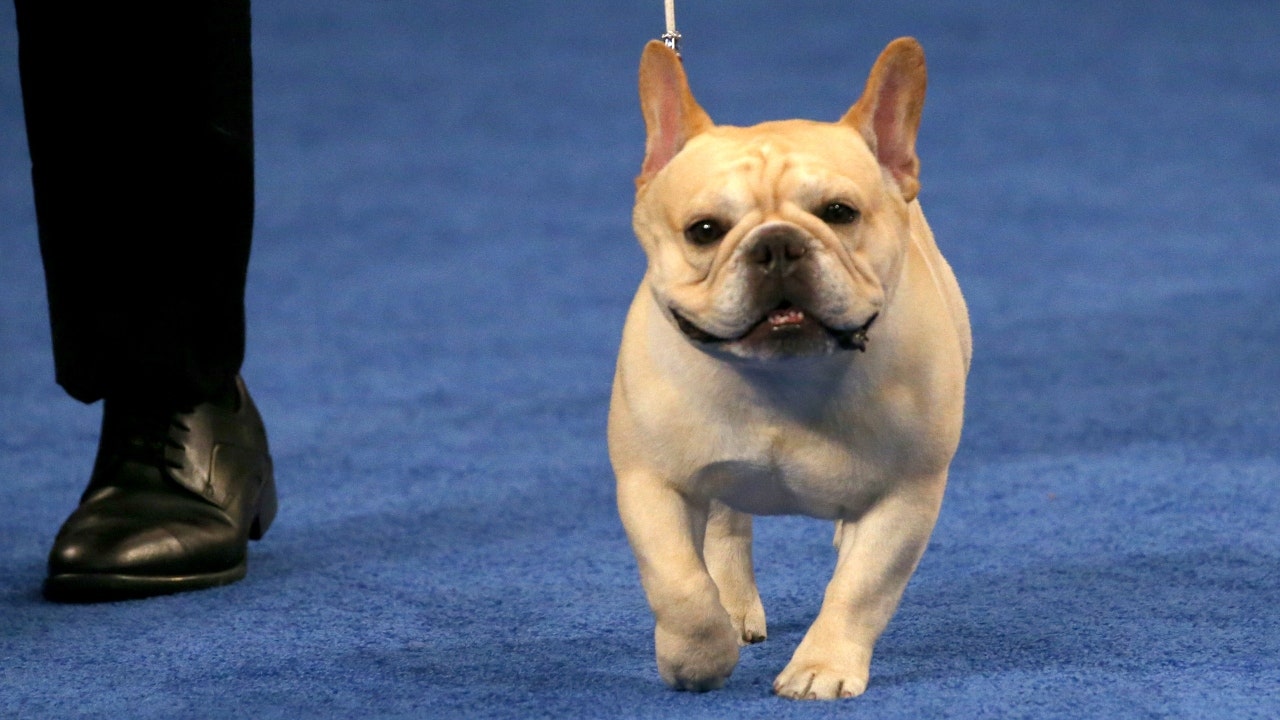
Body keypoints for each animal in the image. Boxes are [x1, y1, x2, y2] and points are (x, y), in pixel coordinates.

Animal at [609, 37, 967, 696]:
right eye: (704, 230)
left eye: (840, 212)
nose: (777, 244)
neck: (782, 379)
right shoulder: (651, 484)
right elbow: (678, 582)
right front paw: (696, 658)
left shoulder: (906, 496)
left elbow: (861, 588)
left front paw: (821, 667)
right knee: (726, 526)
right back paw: (733, 608)